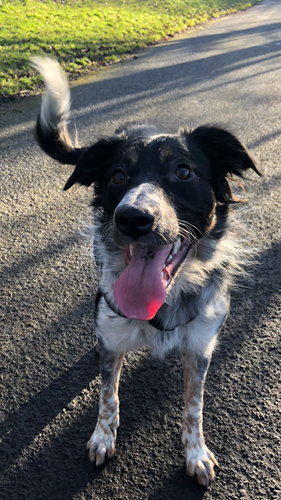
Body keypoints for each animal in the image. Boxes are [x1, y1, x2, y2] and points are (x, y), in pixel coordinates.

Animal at [31, 56, 260, 486]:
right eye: (118, 176)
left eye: (184, 172)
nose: (132, 218)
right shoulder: (112, 331)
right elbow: (108, 394)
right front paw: (103, 438)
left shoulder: (201, 346)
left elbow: (193, 405)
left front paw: (196, 454)